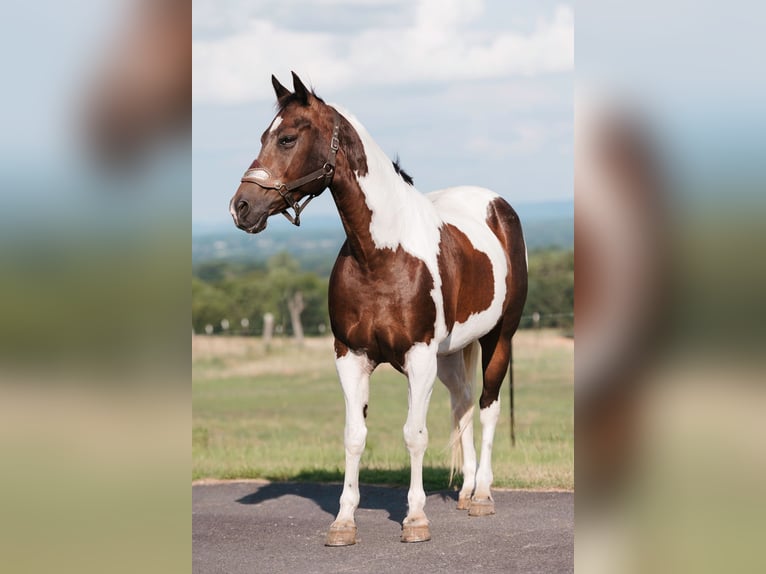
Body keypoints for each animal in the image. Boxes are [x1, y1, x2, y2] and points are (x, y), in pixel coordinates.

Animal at [228, 73, 528, 548]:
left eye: (288, 137)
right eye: (263, 136)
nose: (241, 207)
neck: (381, 253)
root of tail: (497, 206)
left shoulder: (419, 358)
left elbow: (414, 434)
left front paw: (416, 519)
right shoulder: (351, 355)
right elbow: (354, 436)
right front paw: (343, 522)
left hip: (499, 339)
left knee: (487, 407)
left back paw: (481, 495)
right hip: (450, 355)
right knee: (462, 404)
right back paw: (464, 492)